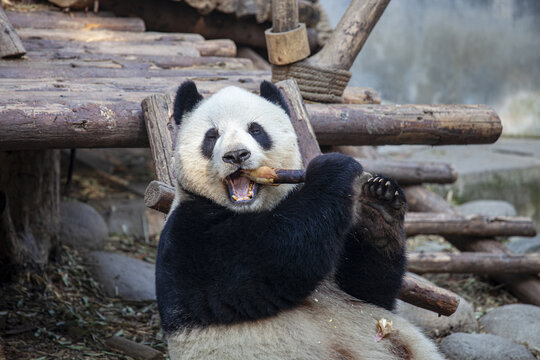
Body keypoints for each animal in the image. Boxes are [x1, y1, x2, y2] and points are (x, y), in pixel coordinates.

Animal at [155, 81, 442, 360]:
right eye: (212, 136)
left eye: (256, 130)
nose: (236, 155)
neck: (251, 209)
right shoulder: (189, 236)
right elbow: (270, 258)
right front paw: (332, 168)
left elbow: (370, 291)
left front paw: (378, 210)